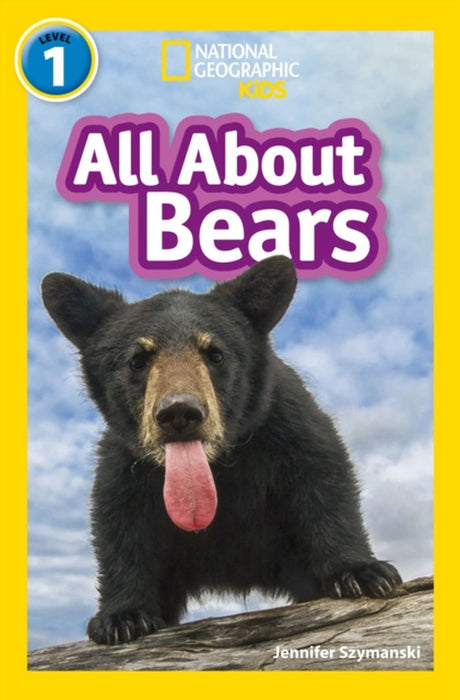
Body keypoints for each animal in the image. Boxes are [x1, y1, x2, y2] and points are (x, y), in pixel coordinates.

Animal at [41, 255, 401, 646]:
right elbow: (119, 523)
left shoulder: (287, 425)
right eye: (138, 359)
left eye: (215, 354)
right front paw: (121, 617)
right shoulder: (125, 464)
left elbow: (323, 481)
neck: (218, 467)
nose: (179, 412)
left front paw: (364, 573)